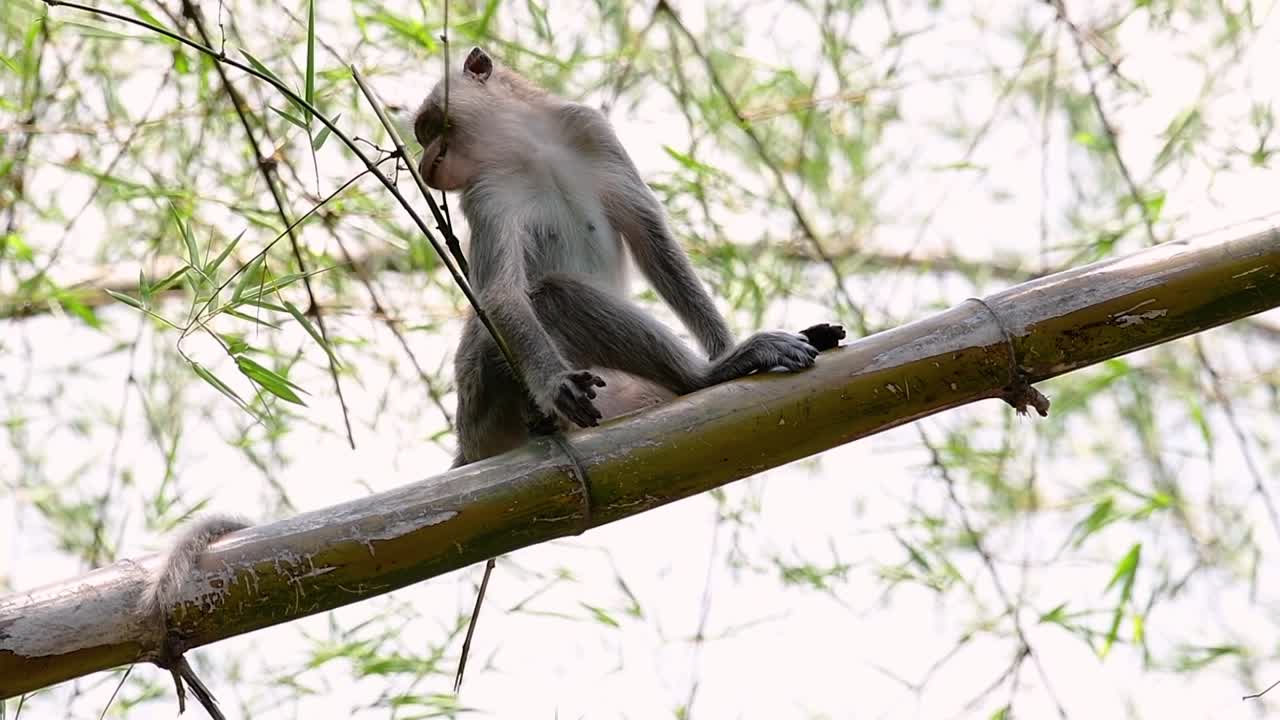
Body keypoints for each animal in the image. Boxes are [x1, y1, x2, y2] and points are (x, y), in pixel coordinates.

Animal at [414, 47, 843, 467]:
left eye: (429, 128)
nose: (422, 163)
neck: (528, 149)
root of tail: (468, 443)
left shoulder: (589, 130)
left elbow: (649, 236)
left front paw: (723, 345)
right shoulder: (485, 192)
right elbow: (501, 294)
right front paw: (554, 382)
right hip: (487, 388)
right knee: (556, 295)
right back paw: (706, 376)